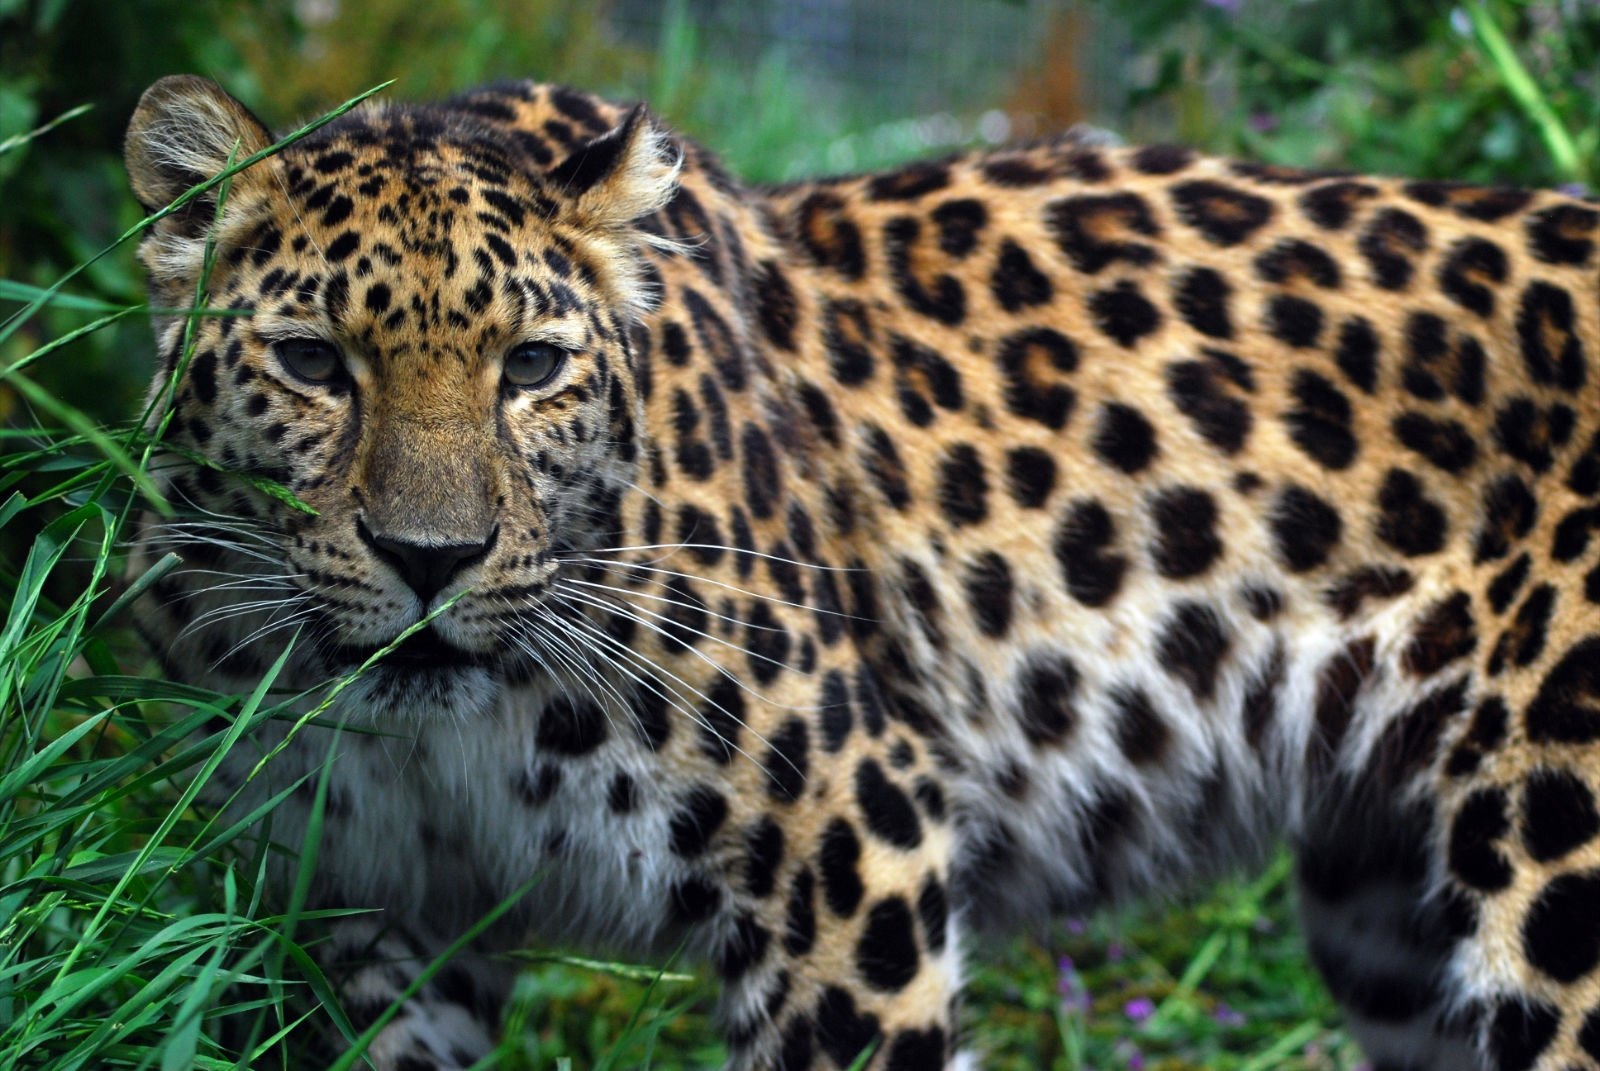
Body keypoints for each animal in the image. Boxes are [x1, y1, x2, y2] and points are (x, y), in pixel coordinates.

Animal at [121, 70, 1600, 1062]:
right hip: (1388, 917)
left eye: (531, 367)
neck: (447, 735)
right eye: (313, 362)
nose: (432, 559)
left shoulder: (845, 853)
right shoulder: (376, 915)